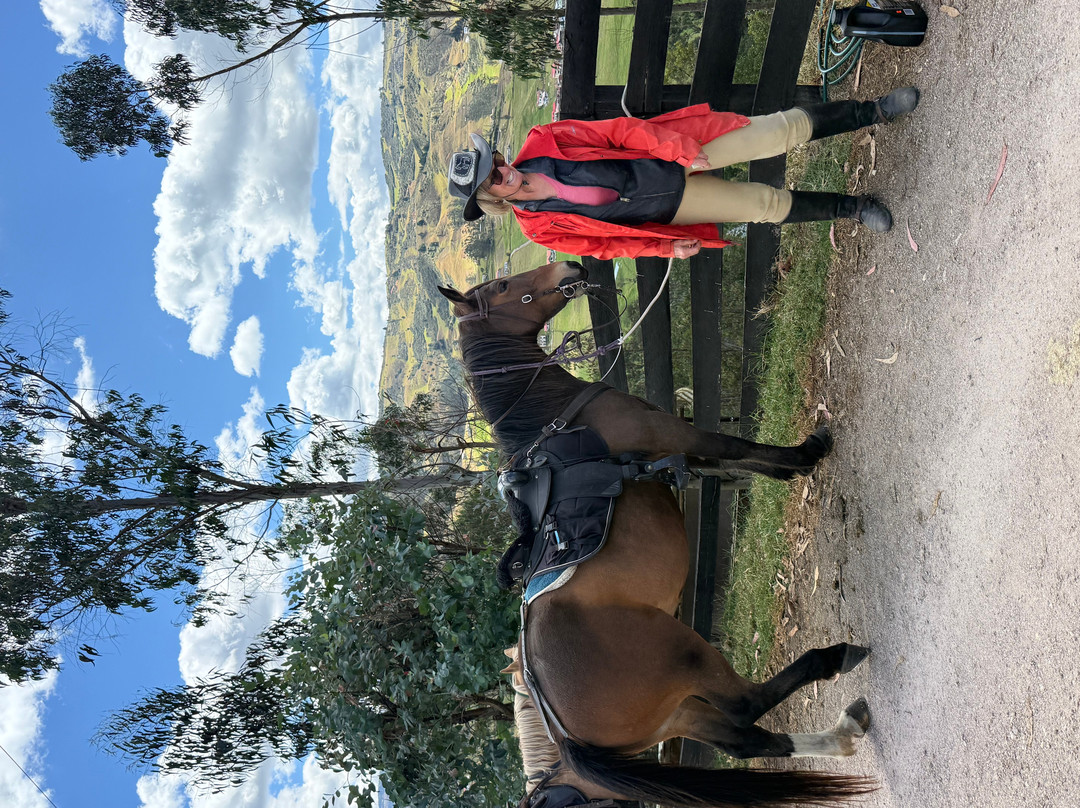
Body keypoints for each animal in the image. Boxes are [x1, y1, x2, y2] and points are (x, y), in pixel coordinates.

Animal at [438, 260, 875, 808]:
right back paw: (834, 661)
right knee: (748, 705)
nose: (570, 265)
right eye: (501, 287)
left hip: (673, 713)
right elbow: (732, 446)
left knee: (750, 738)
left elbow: (731, 462)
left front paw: (787, 468)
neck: (563, 416)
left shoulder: (678, 451)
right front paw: (806, 453)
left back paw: (843, 734)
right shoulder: (675, 434)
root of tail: (564, 738)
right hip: (685, 657)